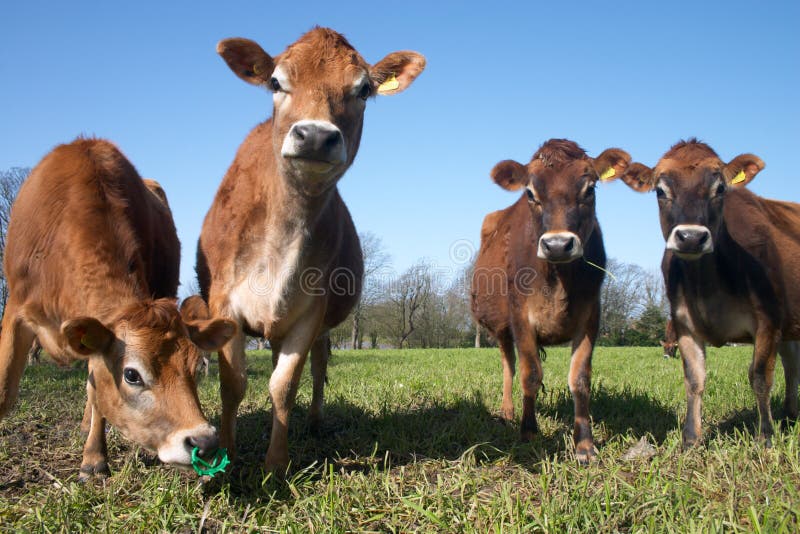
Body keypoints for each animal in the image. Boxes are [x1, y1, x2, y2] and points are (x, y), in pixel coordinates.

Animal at [0, 139, 238, 482]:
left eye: (195, 368)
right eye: (132, 375)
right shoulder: (16, 310)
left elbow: (97, 390)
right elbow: (5, 392)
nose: (204, 442)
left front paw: (93, 458)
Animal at [195, 27, 424, 476]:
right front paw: (227, 453)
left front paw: (276, 464)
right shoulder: (223, 303)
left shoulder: (310, 310)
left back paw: (316, 421)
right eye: (275, 82)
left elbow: (285, 386)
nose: (316, 136)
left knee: (319, 367)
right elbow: (234, 384)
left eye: (363, 89)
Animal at [468, 140, 632, 462]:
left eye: (590, 189)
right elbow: (530, 374)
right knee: (509, 366)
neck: (558, 278)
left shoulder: (591, 316)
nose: (557, 244)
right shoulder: (521, 318)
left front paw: (584, 444)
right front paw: (529, 431)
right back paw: (508, 411)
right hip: (501, 328)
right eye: (531, 193)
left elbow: (580, 379)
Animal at [612, 140, 800, 450]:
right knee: (791, 364)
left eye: (720, 188)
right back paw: (790, 412)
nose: (690, 237)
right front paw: (690, 439)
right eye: (660, 190)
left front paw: (765, 436)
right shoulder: (684, 324)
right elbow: (694, 379)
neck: (709, 287)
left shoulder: (768, 320)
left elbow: (760, 377)